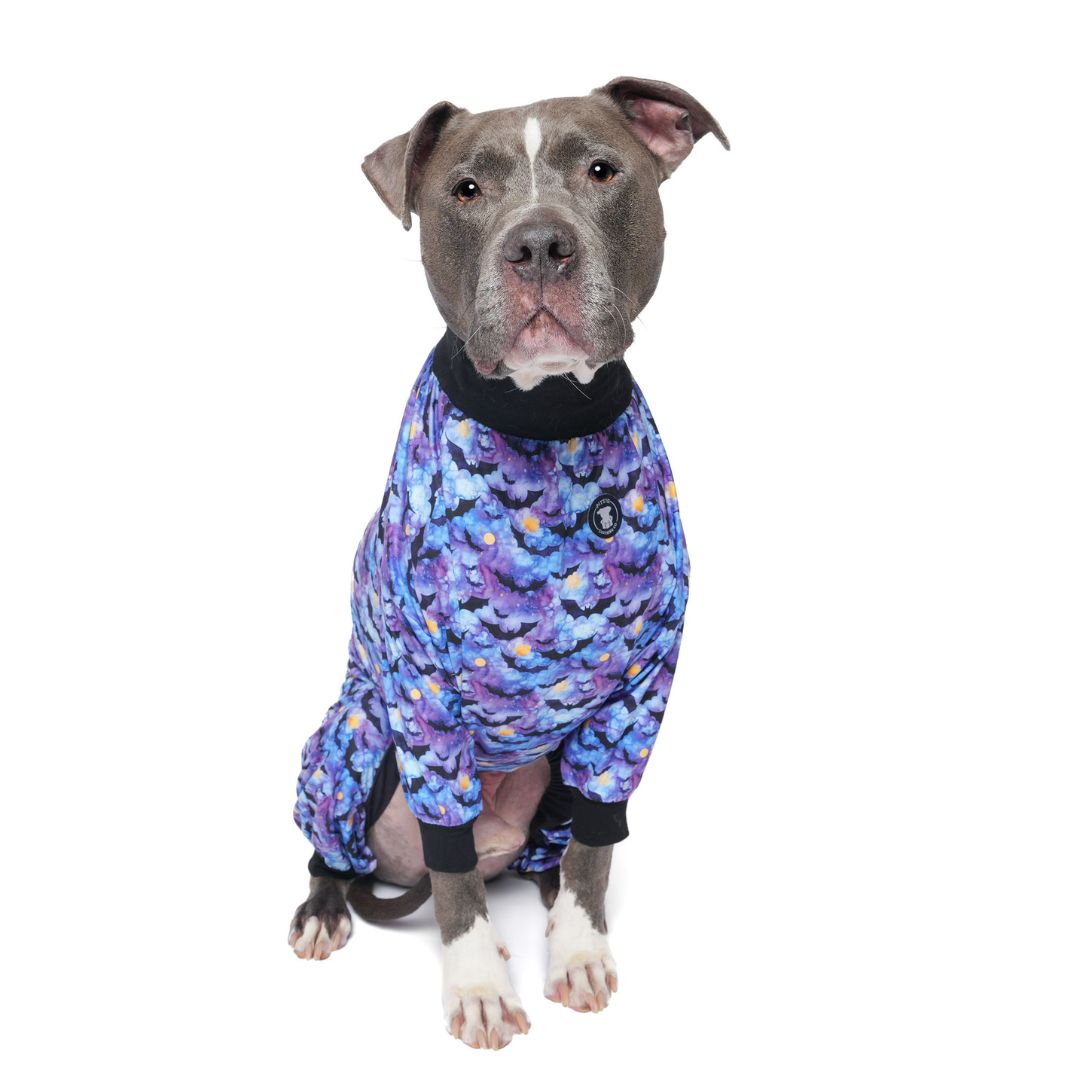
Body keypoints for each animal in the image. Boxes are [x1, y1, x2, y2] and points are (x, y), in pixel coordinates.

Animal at [289, 75, 728, 1049]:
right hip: (348, 739)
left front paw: (579, 951)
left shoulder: (636, 698)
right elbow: (451, 877)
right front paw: (479, 986)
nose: (539, 244)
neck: (546, 422)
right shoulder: (424, 700)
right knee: (350, 851)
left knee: (553, 854)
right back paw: (326, 910)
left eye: (602, 170)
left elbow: (599, 847)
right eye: (465, 189)